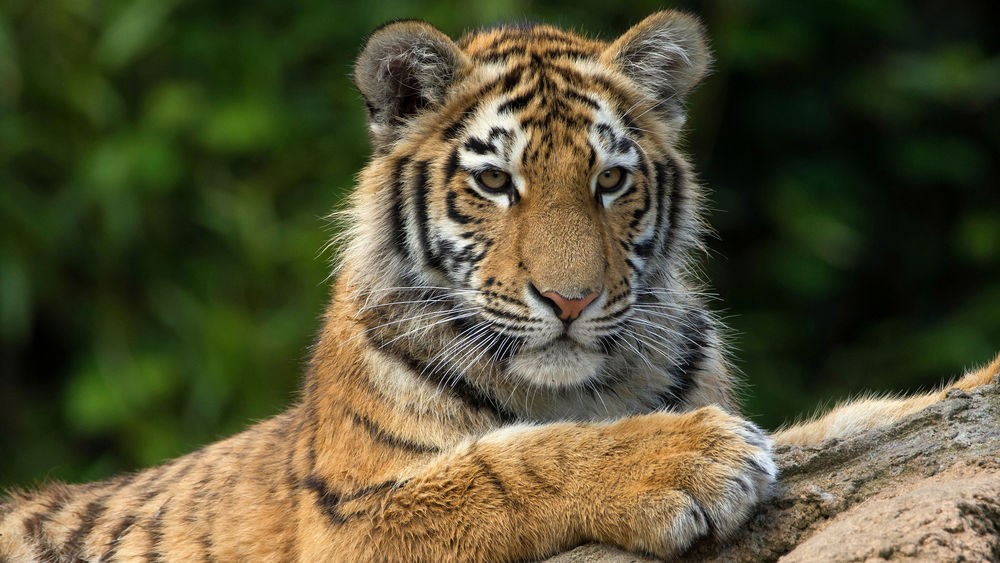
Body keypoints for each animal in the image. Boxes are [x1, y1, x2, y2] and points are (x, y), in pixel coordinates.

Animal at [1, 9, 1000, 563]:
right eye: (495, 182)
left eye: (610, 180)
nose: (571, 301)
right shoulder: (351, 517)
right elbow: (508, 464)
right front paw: (686, 459)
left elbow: (863, 419)